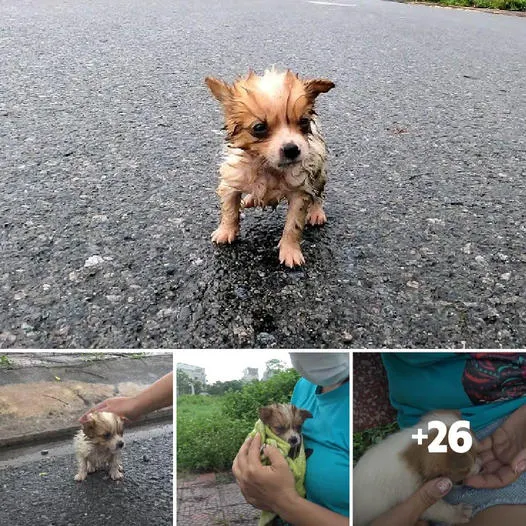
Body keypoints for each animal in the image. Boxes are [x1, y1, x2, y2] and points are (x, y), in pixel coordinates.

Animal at [204, 68, 336, 268]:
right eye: (259, 127)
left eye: (304, 121)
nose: (292, 149)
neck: (267, 166)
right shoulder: (231, 181)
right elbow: (229, 210)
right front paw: (225, 231)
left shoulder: (299, 192)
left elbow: (293, 226)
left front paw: (290, 251)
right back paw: (250, 199)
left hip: (319, 171)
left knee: (319, 194)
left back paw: (316, 212)